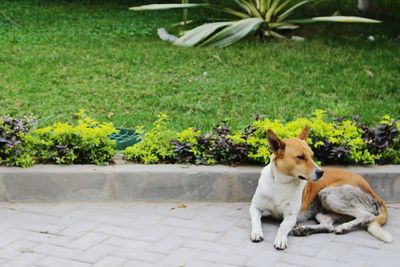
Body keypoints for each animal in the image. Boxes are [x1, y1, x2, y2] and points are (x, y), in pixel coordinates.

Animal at [248, 126, 392, 250]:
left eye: (312, 155)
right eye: (300, 157)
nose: (321, 172)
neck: (280, 183)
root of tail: (372, 190)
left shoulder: (290, 216)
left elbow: (283, 226)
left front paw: (281, 239)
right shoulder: (255, 208)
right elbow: (256, 220)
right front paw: (256, 233)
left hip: (327, 195)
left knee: (367, 216)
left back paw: (344, 227)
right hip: (322, 210)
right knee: (328, 226)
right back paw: (305, 229)